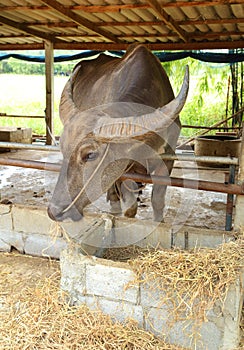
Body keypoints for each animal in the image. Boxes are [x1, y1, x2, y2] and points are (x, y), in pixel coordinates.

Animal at [47, 43, 189, 221]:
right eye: (63, 150)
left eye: (90, 155)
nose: (54, 211)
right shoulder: (123, 169)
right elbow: (130, 207)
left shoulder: (168, 158)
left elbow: (157, 200)